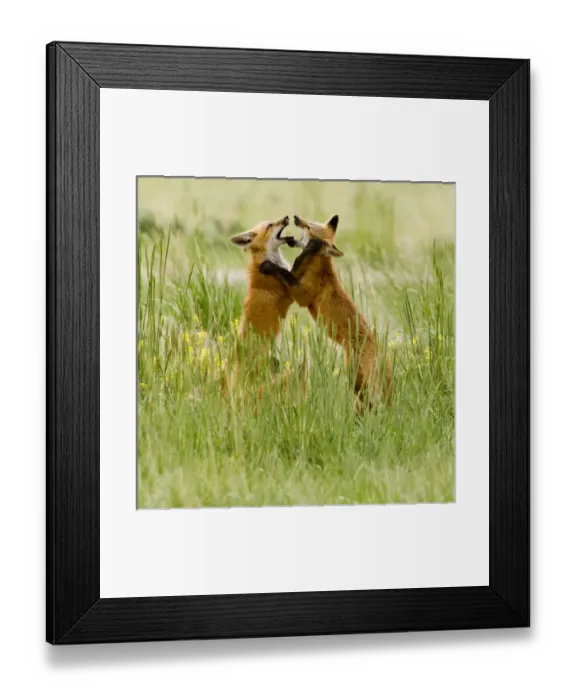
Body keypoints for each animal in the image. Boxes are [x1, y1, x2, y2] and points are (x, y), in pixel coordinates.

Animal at [261, 214, 393, 410]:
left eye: (309, 227)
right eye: (309, 222)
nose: (296, 217)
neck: (317, 268)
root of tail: (383, 352)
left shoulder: (301, 295)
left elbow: (285, 272)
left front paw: (269, 266)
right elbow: (291, 269)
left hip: (355, 378)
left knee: (370, 403)